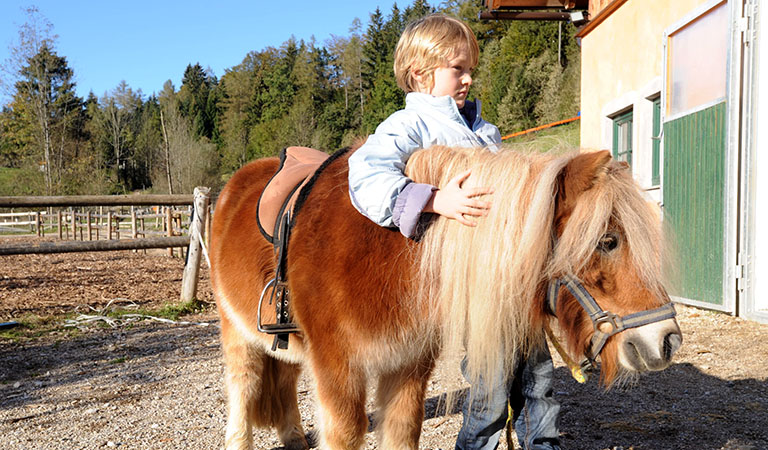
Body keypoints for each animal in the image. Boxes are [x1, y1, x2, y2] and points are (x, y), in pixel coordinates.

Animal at [210, 145, 682, 450]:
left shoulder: (407, 368)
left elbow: (402, 434)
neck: (391, 253)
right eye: (608, 241)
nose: (667, 340)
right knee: (243, 389)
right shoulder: (337, 370)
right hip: (236, 332)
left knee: (284, 381)